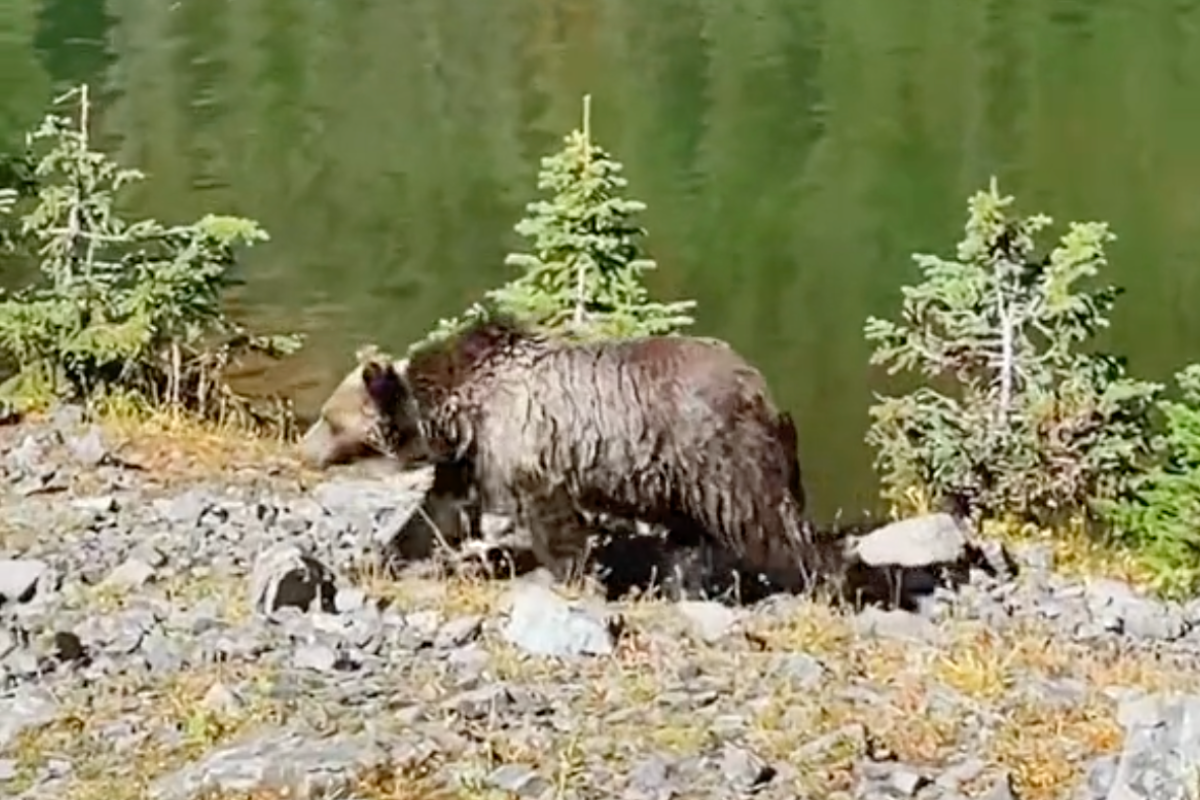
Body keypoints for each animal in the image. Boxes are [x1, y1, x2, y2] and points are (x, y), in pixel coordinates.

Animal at [298, 314, 859, 599]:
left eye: (328, 419)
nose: (303, 450)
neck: (457, 411)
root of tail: (763, 388)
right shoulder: (471, 458)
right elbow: (438, 514)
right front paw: (375, 559)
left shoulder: (530, 451)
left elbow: (555, 525)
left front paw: (575, 579)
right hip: (679, 475)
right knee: (691, 541)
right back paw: (683, 586)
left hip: (718, 454)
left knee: (764, 518)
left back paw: (824, 582)